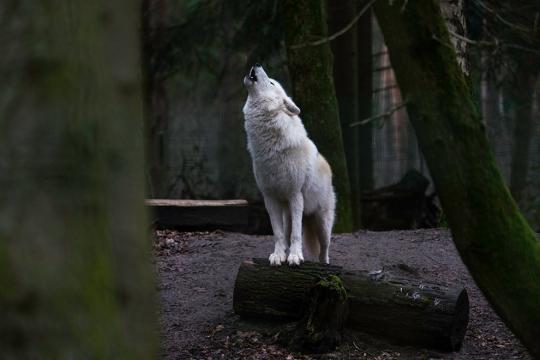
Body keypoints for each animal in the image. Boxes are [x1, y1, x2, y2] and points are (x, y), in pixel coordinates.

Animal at [243, 64, 336, 268]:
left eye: (271, 82)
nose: (256, 65)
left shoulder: (295, 195)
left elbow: (295, 235)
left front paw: (295, 257)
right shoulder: (270, 198)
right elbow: (278, 234)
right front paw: (278, 256)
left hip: (322, 224)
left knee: (324, 250)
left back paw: (324, 265)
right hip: (287, 212)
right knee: (286, 233)